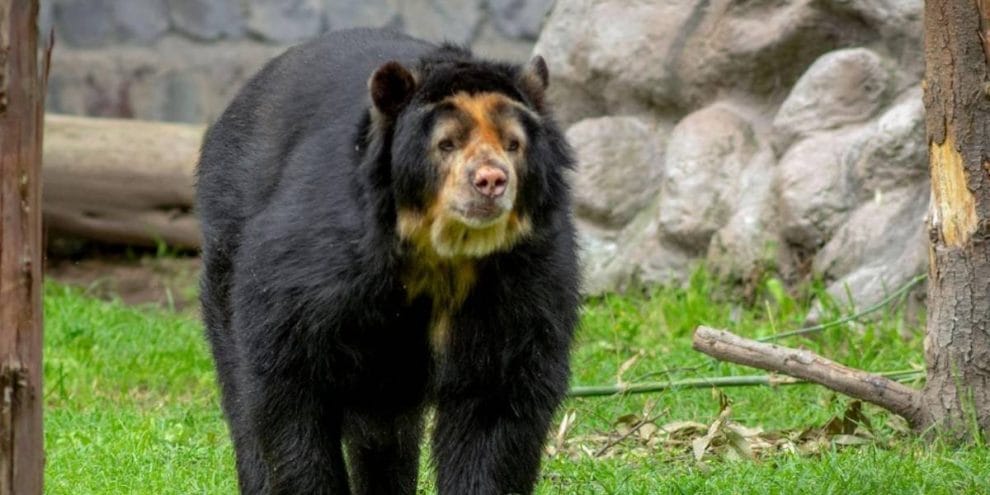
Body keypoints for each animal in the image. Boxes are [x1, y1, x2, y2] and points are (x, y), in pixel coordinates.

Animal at [196, 28, 579, 495]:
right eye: (446, 144)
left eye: (513, 144)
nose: (491, 180)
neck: (445, 254)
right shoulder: (317, 265)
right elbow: (287, 377)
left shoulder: (526, 281)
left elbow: (498, 403)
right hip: (227, 241)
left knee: (384, 428)